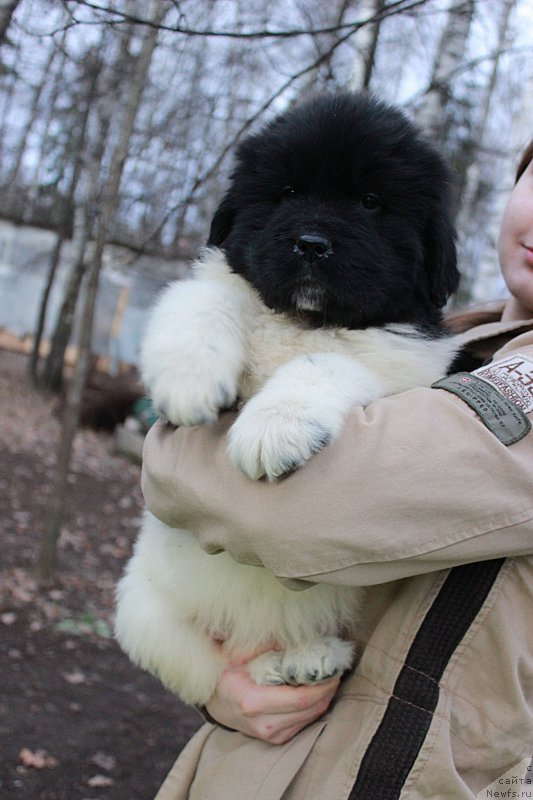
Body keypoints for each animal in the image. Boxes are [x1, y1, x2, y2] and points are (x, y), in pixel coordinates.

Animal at [114, 95, 460, 708]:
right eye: (288, 192)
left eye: (371, 202)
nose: (312, 244)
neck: (304, 319)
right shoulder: (224, 281)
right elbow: (207, 297)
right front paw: (188, 379)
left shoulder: (405, 362)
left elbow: (326, 362)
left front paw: (273, 426)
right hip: (142, 612)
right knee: (202, 670)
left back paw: (307, 659)